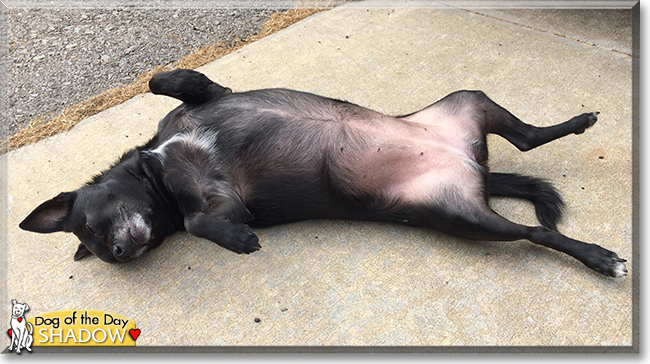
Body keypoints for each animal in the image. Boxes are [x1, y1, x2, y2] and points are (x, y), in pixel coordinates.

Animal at [20, 69, 624, 278]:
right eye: (99, 247)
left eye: (91, 227)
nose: (121, 253)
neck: (158, 171)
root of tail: (471, 160)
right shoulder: (221, 202)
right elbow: (201, 222)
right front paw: (236, 239)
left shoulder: (208, 95)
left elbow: (162, 79)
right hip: (468, 215)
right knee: (537, 230)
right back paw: (599, 258)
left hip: (466, 100)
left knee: (527, 140)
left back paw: (579, 122)